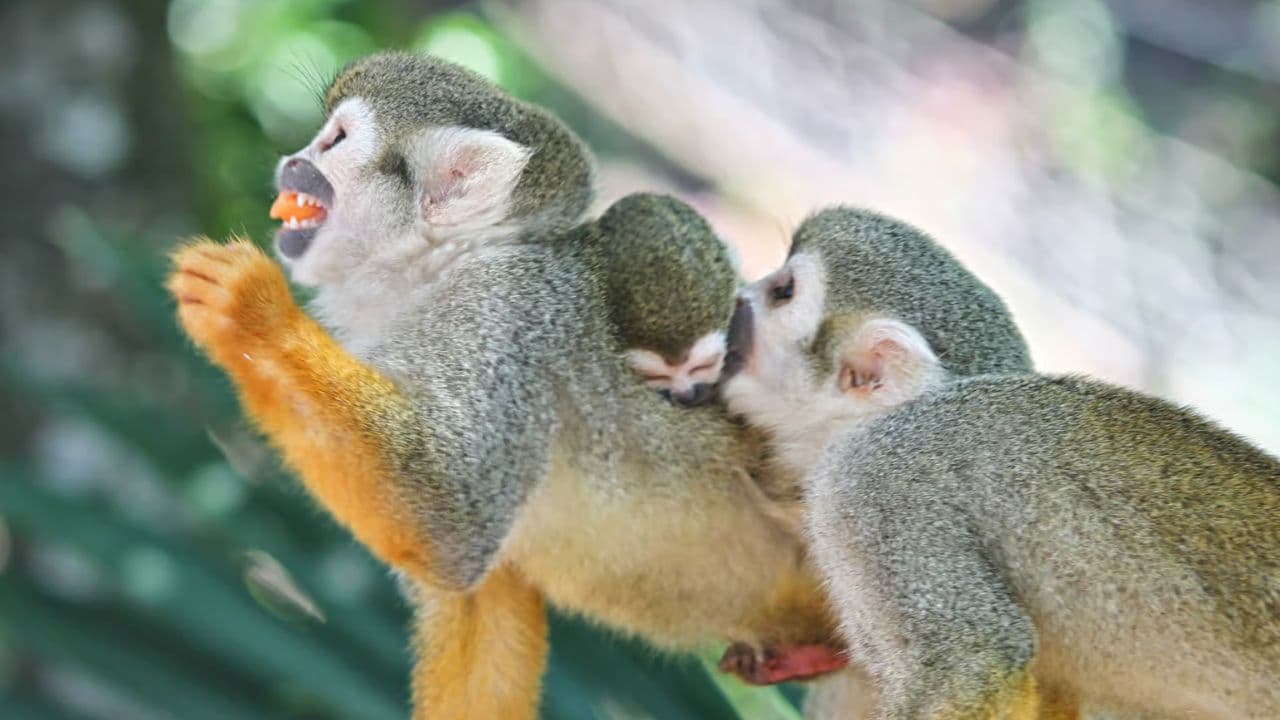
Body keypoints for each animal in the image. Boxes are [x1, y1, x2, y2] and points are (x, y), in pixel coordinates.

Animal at [169, 52, 841, 719]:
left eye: (333, 140)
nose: (292, 160)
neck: (440, 272)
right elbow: (478, 597)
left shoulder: (505, 325)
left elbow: (452, 527)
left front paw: (255, 314)